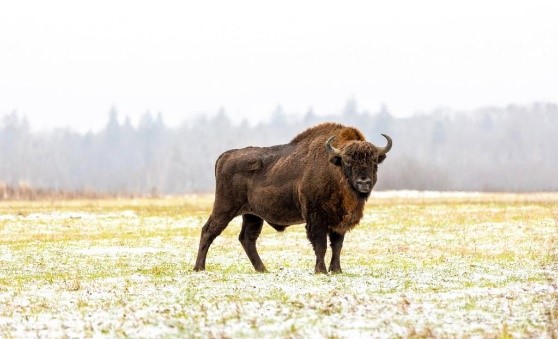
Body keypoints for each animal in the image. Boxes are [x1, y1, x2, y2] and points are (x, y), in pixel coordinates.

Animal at [195, 122, 392, 274]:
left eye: (374, 162)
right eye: (347, 162)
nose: (363, 182)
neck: (333, 168)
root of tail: (225, 156)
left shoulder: (339, 222)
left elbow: (337, 246)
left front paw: (336, 270)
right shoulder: (315, 218)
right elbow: (320, 244)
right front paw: (321, 270)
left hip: (252, 215)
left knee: (247, 239)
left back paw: (263, 269)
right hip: (225, 208)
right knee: (208, 231)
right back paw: (199, 268)